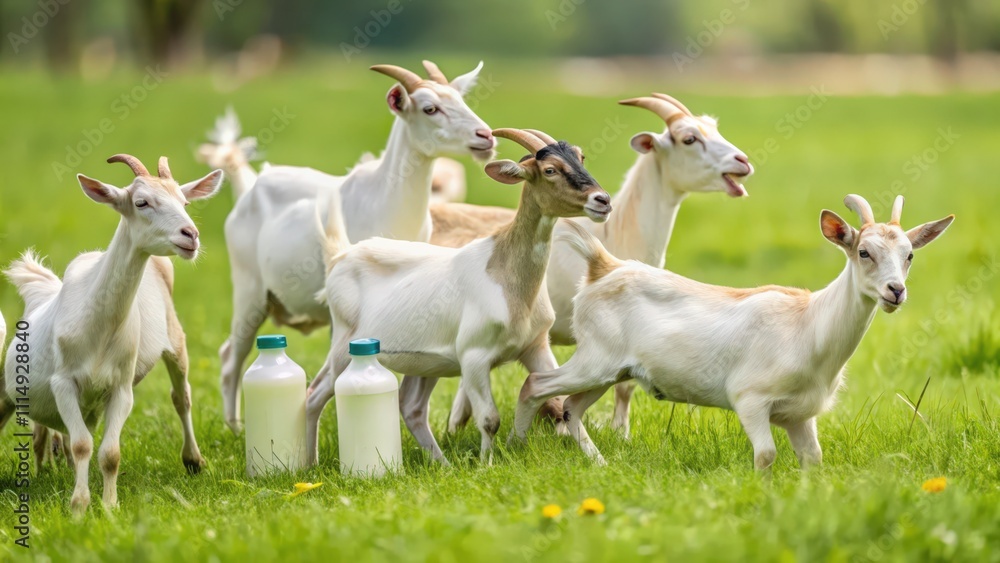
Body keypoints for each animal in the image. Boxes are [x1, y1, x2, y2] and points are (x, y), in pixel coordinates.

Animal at [1, 155, 222, 514]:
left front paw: (108, 507)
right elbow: (81, 445)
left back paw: (193, 460)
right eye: (141, 202)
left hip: (175, 339)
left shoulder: (121, 387)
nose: (191, 235)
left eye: (185, 202)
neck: (98, 327)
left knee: (181, 396)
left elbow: (109, 453)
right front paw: (79, 506)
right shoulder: (63, 383)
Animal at [219, 61, 496, 434]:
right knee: (232, 358)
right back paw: (235, 429)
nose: (486, 137)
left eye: (461, 100)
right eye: (430, 108)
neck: (385, 199)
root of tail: (249, 187)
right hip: (249, 290)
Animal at [306, 128, 612, 465]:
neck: (505, 274)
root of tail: (341, 257)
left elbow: (562, 400)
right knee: (315, 394)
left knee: (411, 406)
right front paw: (486, 466)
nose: (602, 200)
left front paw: (600, 462)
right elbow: (490, 419)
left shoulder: (535, 346)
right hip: (344, 346)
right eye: (550, 170)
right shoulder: (474, 356)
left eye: (581, 158)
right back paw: (308, 464)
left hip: (425, 363)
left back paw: (443, 464)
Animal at [436, 94, 753, 436]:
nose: (743, 161)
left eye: (713, 127)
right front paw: (619, 433)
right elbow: (620, 387)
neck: (617, 234)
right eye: (689, 138)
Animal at [512, 195, 952, 469]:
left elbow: (813, 459)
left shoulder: (800, 414)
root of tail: (604, 265)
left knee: (571, 407)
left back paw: (600, 463)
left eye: (909, 255)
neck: (809, 326)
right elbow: (766, 456)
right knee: (535, 385)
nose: (895, 291)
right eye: (863, 252)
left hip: (611, 371)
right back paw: (515, 447)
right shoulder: (750, 399)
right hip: (594, 359)